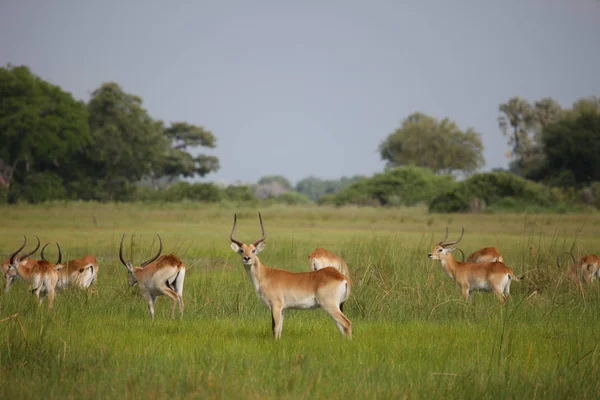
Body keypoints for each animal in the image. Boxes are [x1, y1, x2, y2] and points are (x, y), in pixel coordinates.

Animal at [230, 211, 352, 340]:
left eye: (253, 250)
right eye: (241, 250)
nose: (246, 258)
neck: (265, 276)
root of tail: (341, 277)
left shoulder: (276, 306)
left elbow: (275, 329)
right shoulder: (283, 309)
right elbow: (279, 330)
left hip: (330, 306)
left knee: (347, 323)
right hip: (336, 306)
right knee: (342, 328)